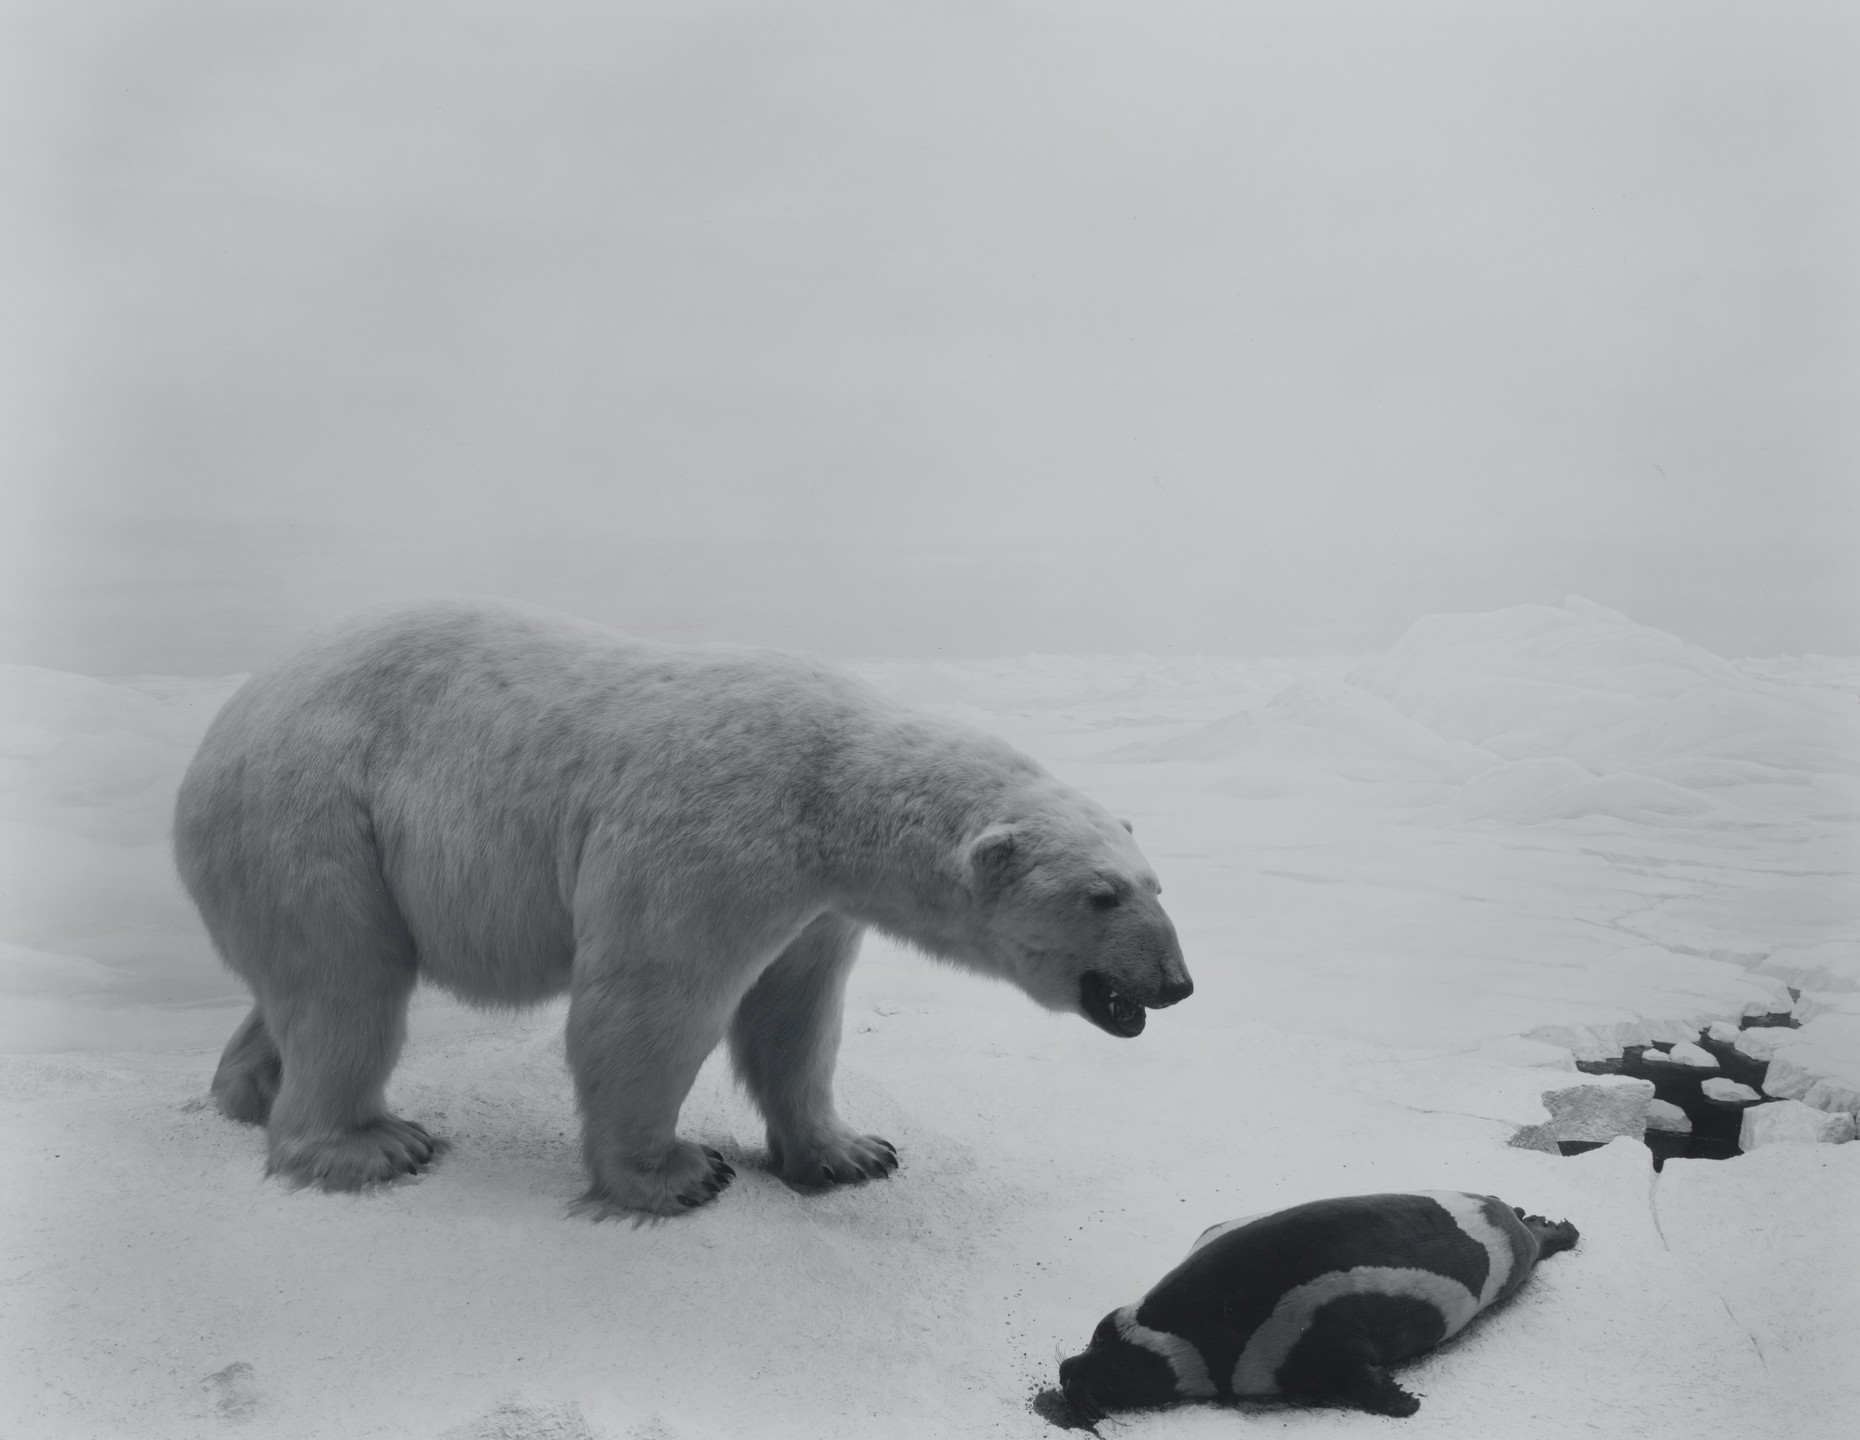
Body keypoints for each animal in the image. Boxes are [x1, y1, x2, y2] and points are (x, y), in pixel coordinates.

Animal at [173, 596, 1192, 1216]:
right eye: (1100, 895)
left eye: (1155, 883)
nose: (1177, 983)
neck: (833, 787)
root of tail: (222, 726)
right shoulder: (714, 835)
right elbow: (652, 1001)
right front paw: (675, 1174)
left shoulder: (816, 904)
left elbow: (797, 1017)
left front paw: (852, 1152)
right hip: (315, 815)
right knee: (348, 984)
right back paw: (369, 1145)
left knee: (308, 985)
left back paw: (249, 1091)